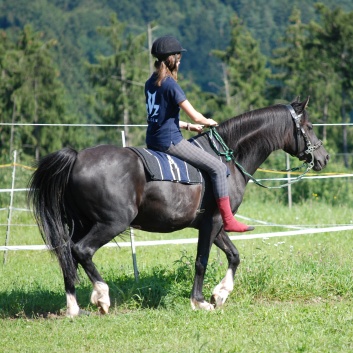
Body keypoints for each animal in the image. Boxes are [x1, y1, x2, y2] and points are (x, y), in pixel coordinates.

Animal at [27, 97, 328, 316]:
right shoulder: (212, 223)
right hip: (111, 223)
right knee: (82, 250)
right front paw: (200, 301)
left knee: (67, 253)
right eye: (310, 127)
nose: (324, 157)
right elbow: (201, 261)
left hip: (83, 223)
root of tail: (77, 158)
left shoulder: (216, 225)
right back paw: (101, 296)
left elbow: (234, 256)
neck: (228, 159)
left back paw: (73, 306)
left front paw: (220, 294)